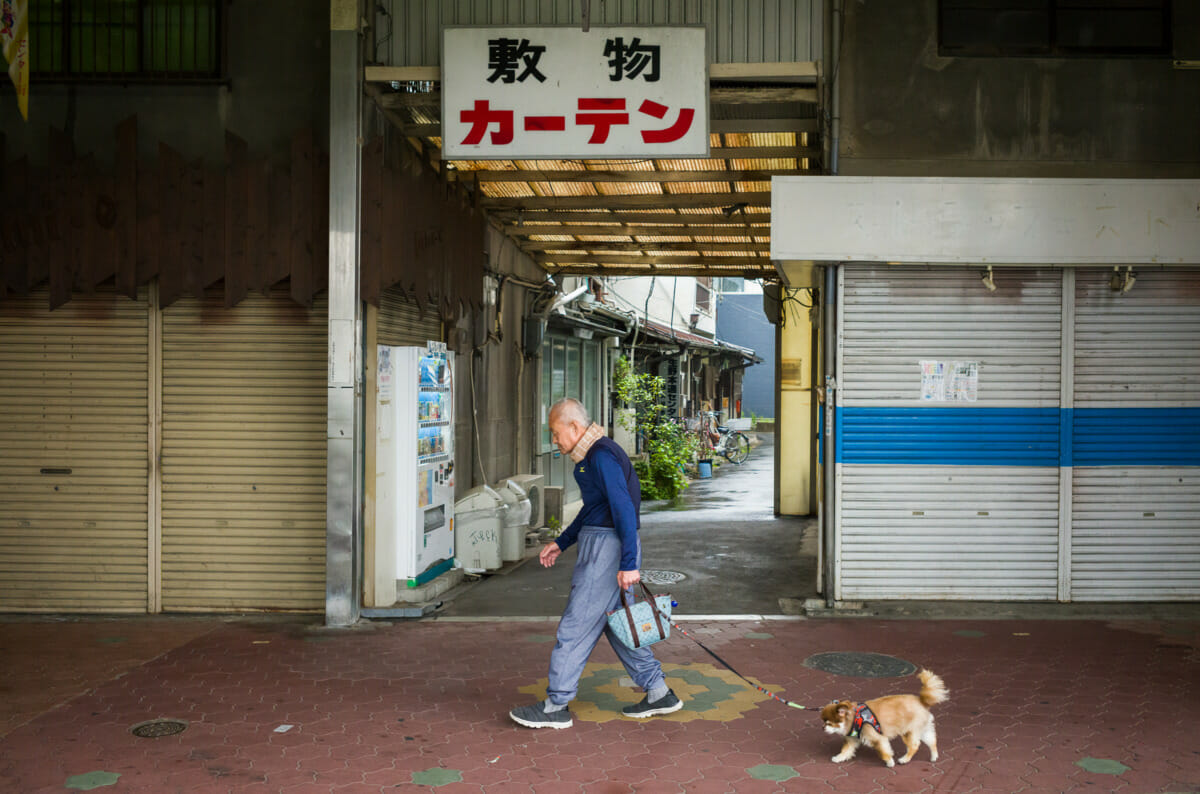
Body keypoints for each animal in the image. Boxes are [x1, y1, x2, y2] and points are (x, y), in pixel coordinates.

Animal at [820, 666, 950, 767]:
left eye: (829, 723)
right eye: (823, 721)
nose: (822, 728)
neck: (855, 718)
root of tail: (922, 701)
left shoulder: (878, 738)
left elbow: (884, 752)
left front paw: (890, 762)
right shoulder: (852, 740)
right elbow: (846, 751)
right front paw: (839, 757)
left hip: (908, 731)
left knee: (914, 746)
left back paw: (904, 759)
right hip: (923, 729)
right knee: (932, 741)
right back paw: (934, 756)